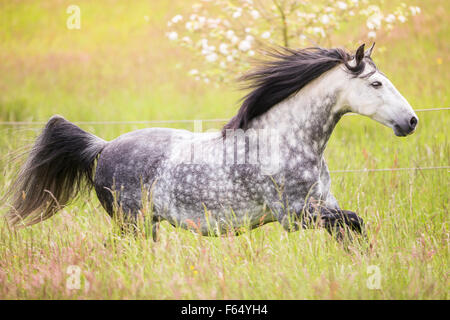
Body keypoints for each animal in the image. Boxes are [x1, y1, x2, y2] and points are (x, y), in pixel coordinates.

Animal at [3, 43, 418, 241]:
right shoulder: (295, 215)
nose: (411, 121)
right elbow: (355, 221)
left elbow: (353, 230)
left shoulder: (323, 206)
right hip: (133, 224)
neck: (288, 141)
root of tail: (102, 147)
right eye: (376, 84)